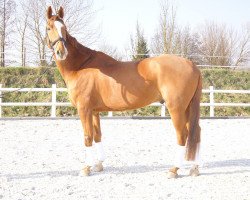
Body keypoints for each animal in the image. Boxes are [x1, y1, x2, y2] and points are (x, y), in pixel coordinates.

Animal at [46, 5, 202, 178]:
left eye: (64, 29)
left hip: (176, 108)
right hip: (188, 107)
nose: (61, 52)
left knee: (183, 134)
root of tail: (192, 65)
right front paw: (98, 165)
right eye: (49, 28)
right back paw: (194, 168)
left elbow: (87, 137)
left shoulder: (84, 109)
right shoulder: (94, 111)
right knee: (196, 132)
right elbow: (97, 135)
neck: (81, 66)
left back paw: (174, 169)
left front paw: (86, 168)